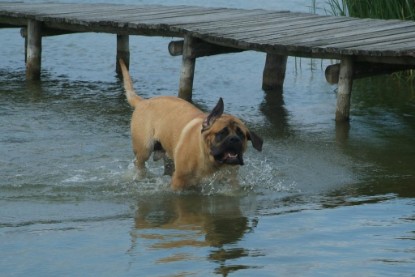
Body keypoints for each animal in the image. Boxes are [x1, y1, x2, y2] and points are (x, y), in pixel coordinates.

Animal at [120, 59, 264, 190]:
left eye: (241, 134)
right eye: (222, 133)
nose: (234, 139)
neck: (210, 161)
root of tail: (143, 102)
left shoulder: (230, 180)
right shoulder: (178, 182)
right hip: (144, 149)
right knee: (139, 164)